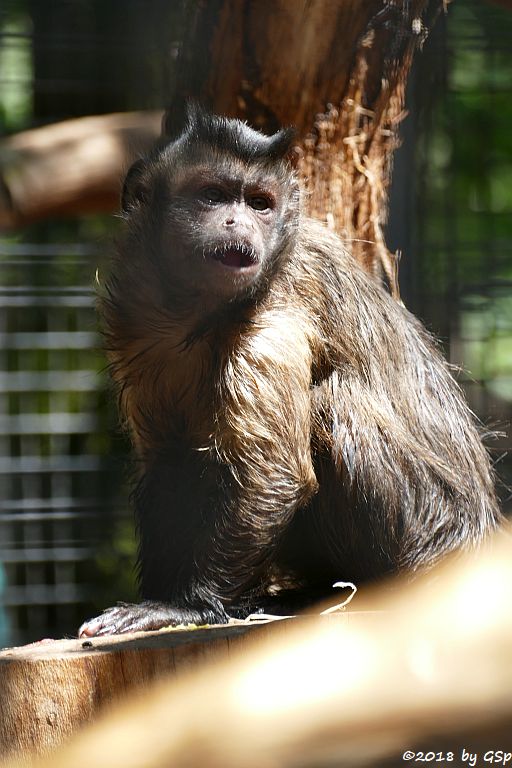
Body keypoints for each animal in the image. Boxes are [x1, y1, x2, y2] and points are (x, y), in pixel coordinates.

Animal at [79, 105, 500, 640]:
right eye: (213, 195)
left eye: (260, 204)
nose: (238, 221)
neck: (198, 315)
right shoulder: (134, 321)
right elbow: (167, 461)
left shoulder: (279, 313)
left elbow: (273, 473)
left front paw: (185, 607)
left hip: (434, 530)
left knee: (333, 403)